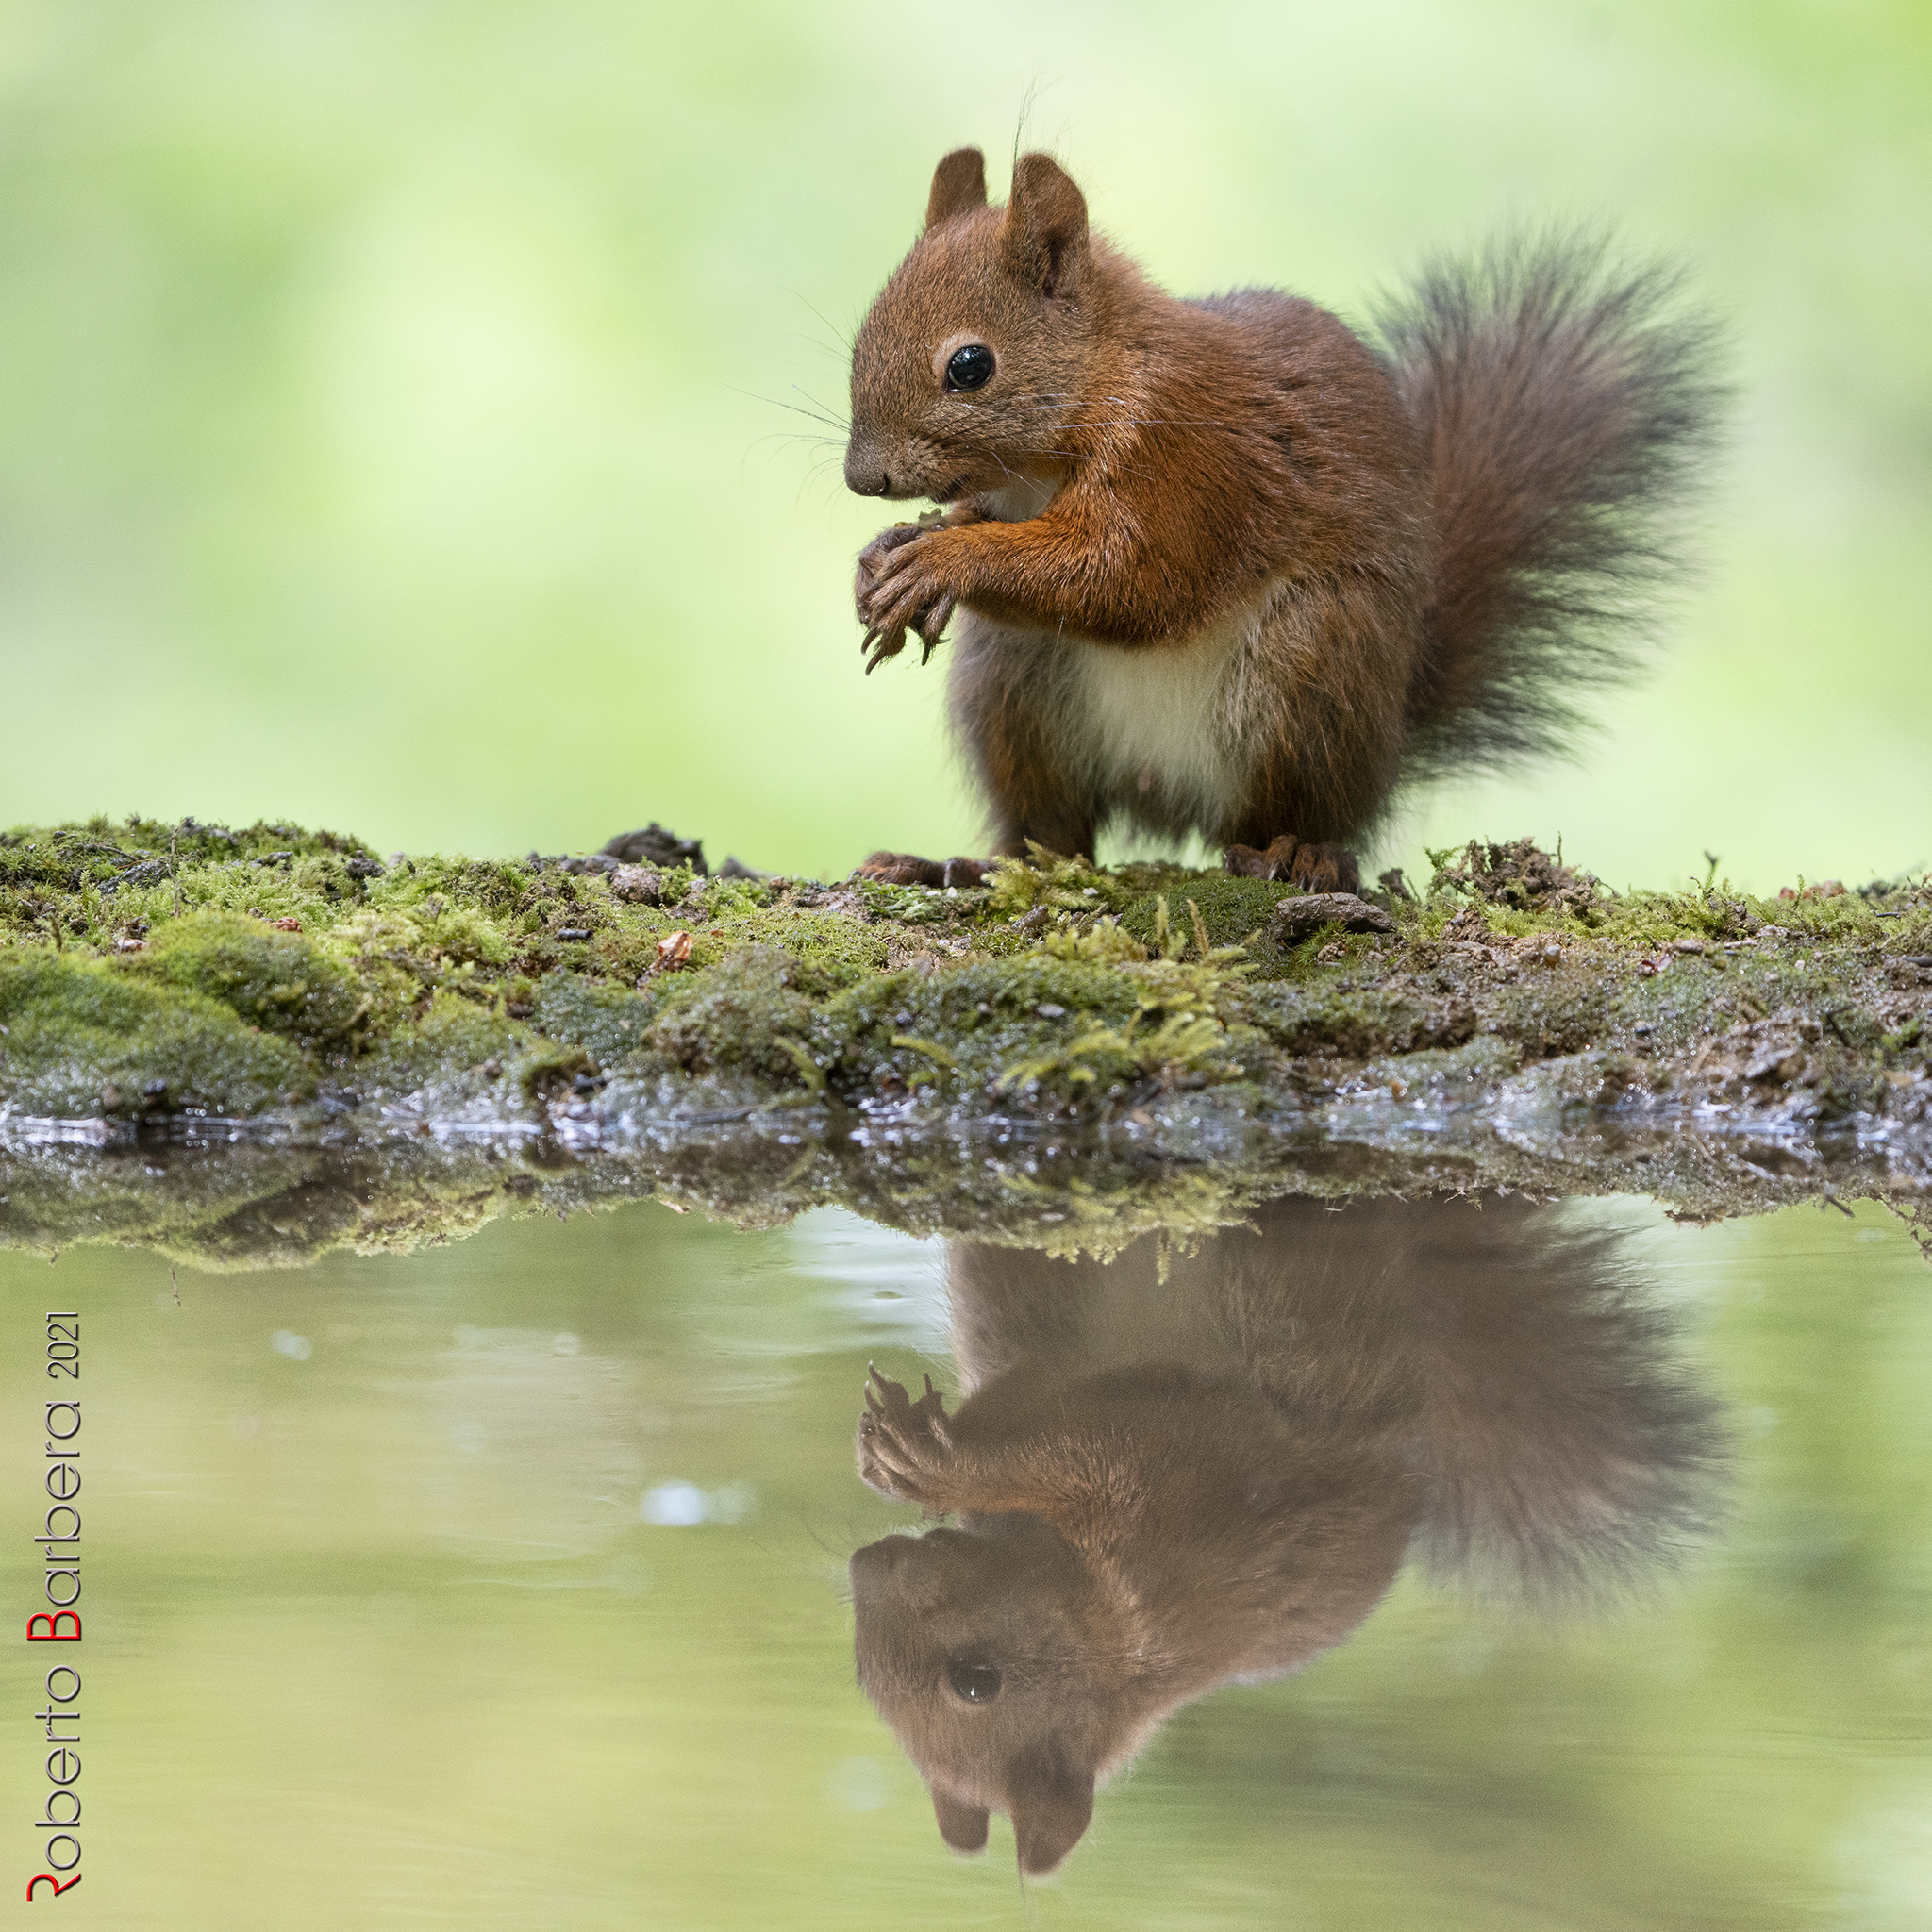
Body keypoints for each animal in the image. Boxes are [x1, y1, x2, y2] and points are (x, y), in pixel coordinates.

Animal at [843, 148, 1720, 894]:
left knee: (1292, 815)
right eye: (861, 336)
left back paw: (1301, 852)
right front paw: (892, 552)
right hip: (1010, 683)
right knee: (1053, 838)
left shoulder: (1190, 462)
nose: (863, 478)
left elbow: (1131, 579)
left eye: (970, 366)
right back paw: (960, 868)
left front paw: (942, 561)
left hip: (1314, 661)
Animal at [849, 1196, 1725, 1875]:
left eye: (976, 1682)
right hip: (1025, 1283)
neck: (1108, 1630)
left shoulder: (1177, 1492)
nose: (866, 1566)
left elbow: (1076, 1444)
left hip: (1292, 1301)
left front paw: (940, 1466)